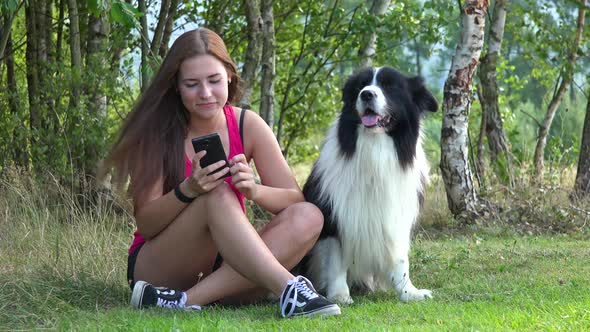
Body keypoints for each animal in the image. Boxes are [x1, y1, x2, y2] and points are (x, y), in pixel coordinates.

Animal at [302, 67, 438, 304]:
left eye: (390, 86)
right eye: (359, 86)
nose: (366, 94)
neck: (375, 146)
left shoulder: (396, 216)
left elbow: (400, 259)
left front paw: (408, 292)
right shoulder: (335, 217)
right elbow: (336, 259)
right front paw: (339, 295)